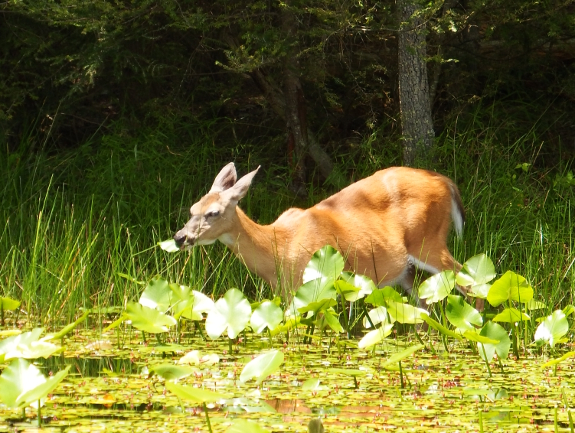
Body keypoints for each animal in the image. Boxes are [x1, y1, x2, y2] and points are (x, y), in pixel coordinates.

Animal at [173, 162, 470, 304]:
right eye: (192, 208)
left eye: (213, 213)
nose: (180, 237)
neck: (279, 247)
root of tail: (446, 182)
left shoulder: (312, 286)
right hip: (406, 269)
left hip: (428, 241)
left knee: (469, 280)